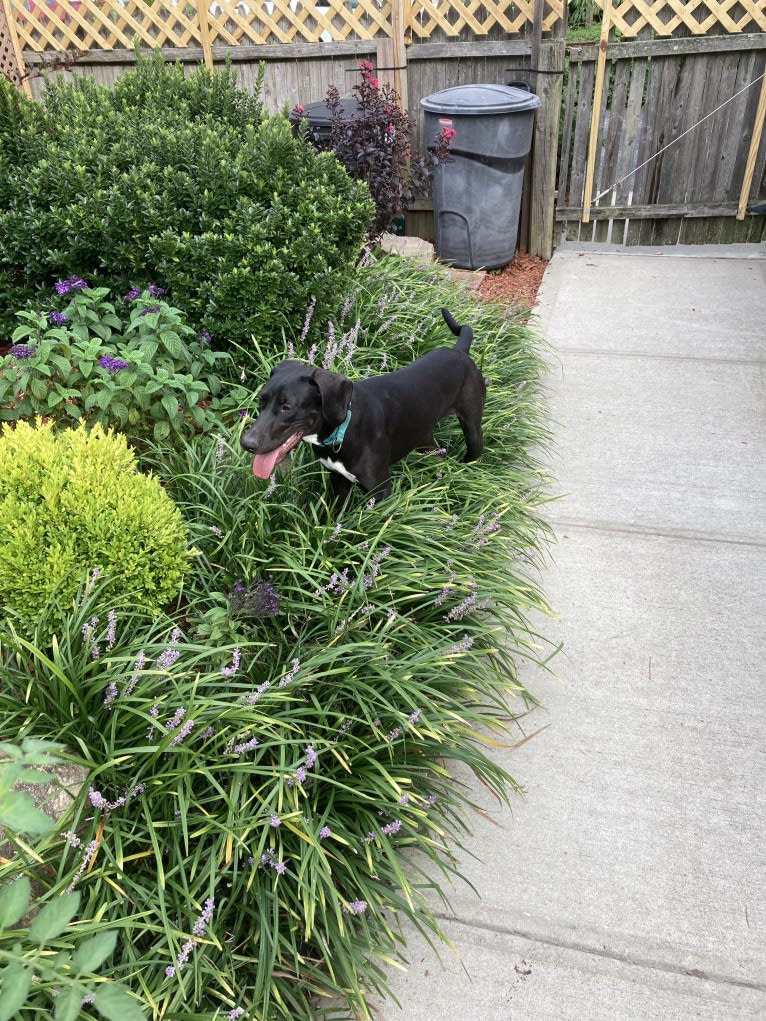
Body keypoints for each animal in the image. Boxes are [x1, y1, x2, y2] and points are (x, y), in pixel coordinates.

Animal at [240, 308, 486, 504]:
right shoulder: (339, 481)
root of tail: (460, 351)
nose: (246, 444)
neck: (343, 429)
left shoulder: (381, 491)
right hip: (423, 437)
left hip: (472, 428)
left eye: (287, 407)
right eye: (261, 400)